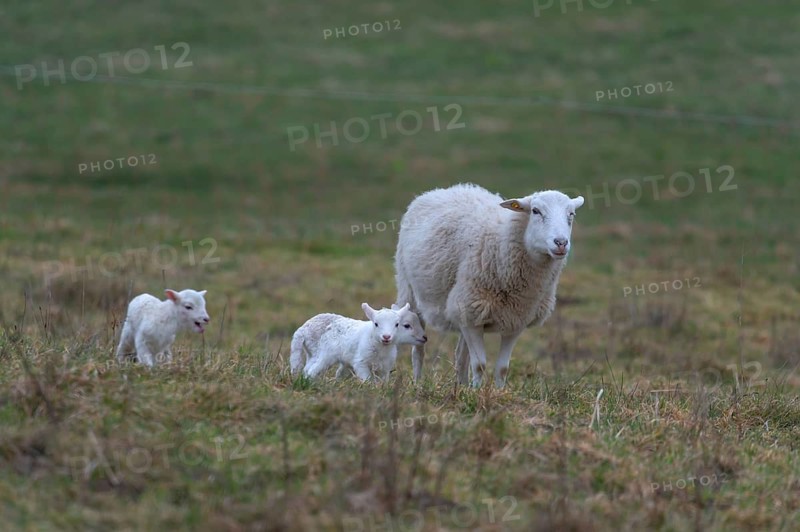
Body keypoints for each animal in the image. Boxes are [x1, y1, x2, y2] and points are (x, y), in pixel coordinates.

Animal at [290, 303, 427, 382]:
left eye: (397, 324)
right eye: (376, 324)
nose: (386, 336)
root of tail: (302, 329)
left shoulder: (385, 367)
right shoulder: (360, 362)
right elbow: (367, 379)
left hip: (313, 353)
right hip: (324, 355)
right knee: (312, 369)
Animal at [394, 183, 584, 387]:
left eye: (571, 214)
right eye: (535, 211)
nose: (561, 242)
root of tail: (441, 190)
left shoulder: (515, 320)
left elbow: (502, 368)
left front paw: (498, 392)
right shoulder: (470, 313)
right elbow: (479, 365)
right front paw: (476, 391)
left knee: (460, 356)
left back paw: (460, 386)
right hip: (411, 292)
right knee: (418, 350)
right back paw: (417, 383)